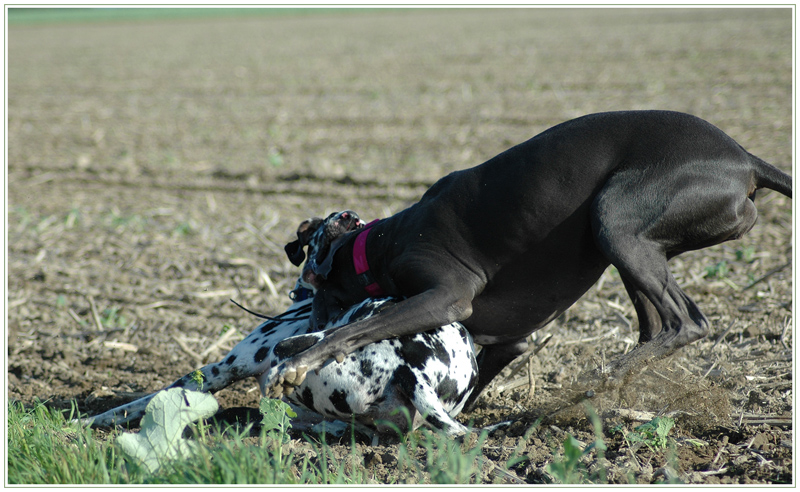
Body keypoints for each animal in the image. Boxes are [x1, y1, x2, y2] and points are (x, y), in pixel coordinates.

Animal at [266, 111, 792, 408]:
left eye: (310, 293)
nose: (290, 339)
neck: (379, 244)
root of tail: (745, 159)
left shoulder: (446, 296)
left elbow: (360, 328)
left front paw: (298, 362)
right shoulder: (509, 342)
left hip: (615, 217)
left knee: (687, 321)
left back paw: (599, 381)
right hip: (632, 245)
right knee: (656, 326)